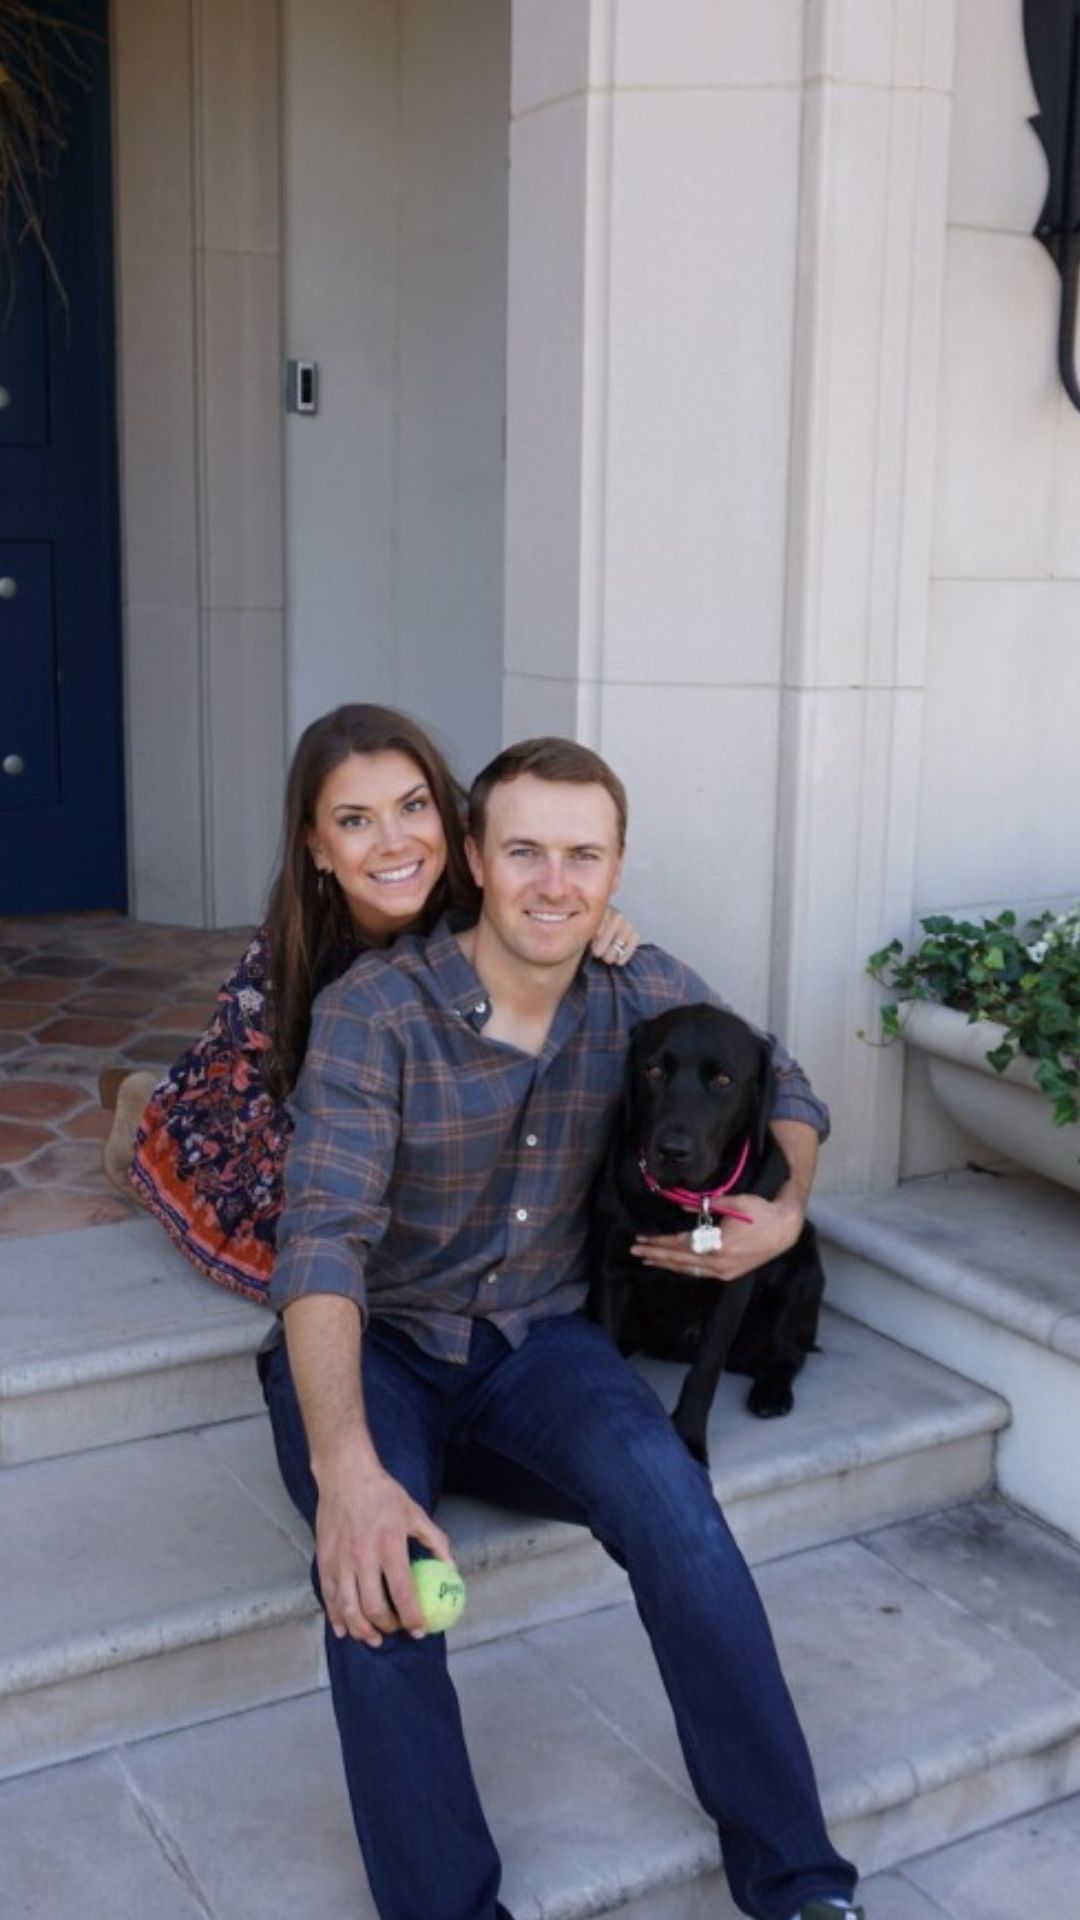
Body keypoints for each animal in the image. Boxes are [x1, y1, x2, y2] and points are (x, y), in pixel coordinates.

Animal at [588, 1006, 822, 1466]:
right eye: (654, 1070)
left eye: (723, 1080)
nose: (673, 1151)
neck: (687, 1204)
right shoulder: (611, 1267)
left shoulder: (734, 1278)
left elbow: (705, 1371)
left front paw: (689, 1438)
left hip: (803, 1259)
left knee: (790, 1352)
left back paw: (772, 1391)